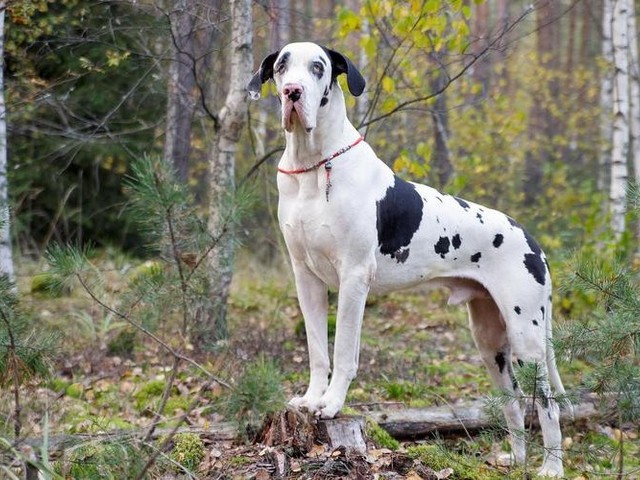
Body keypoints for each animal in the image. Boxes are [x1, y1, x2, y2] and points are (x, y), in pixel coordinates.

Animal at [248, 42, 568, 476]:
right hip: (491, 342)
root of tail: (534, 242)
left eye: (318, 67)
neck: (314, 166)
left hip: (527, 337)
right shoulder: (306, 278)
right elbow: (317, 351)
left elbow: (343, 352)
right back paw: (515, 460)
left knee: (547, 404)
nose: (292, 93)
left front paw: (331, 404)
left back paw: (551, 467)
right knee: (515, 400)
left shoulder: (353, 279)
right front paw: (312, 398)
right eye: (282, 66)